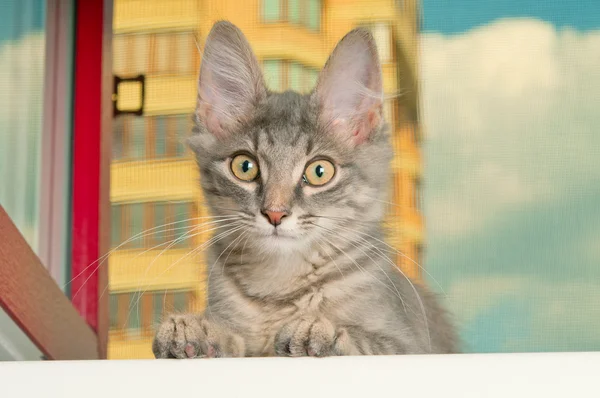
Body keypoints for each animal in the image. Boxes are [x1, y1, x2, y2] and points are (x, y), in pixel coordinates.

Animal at [152, 20, 458, 360]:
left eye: (319, 171)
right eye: (244, 166)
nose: (275, 213)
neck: (278, 287)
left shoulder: (410, 344)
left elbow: (365, 341)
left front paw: (318, 329)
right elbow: (236, 341)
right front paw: (195, 328)